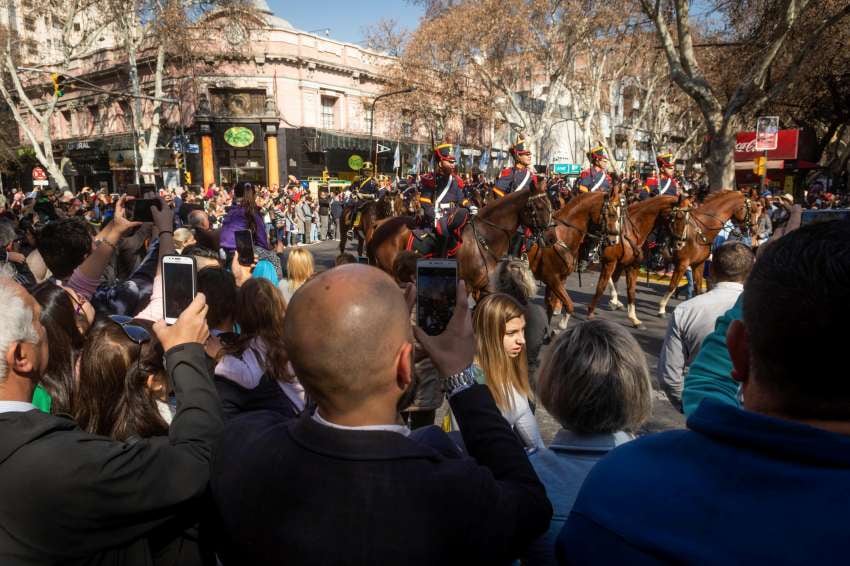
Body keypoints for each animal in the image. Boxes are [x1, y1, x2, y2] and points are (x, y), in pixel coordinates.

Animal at [370, 185, 552, 302]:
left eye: (549, 205)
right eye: (538, 207)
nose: (551, 237)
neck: (484, 236)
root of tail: (381, 224)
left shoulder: (485, 288)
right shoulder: (466, 286)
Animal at [528, 190, 620, 332]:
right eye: (611, 214)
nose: (614, 241)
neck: (562, 236)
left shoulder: (558, 280)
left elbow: (550, 306)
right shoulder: (552, 279)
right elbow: (569, 305)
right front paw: (562, 323)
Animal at [588, 195, 680, 328]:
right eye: (677, 217)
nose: (680, 242)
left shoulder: (630, 264)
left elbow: (630, 290)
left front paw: (634, 318)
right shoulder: (611, 261)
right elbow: (605, 283)